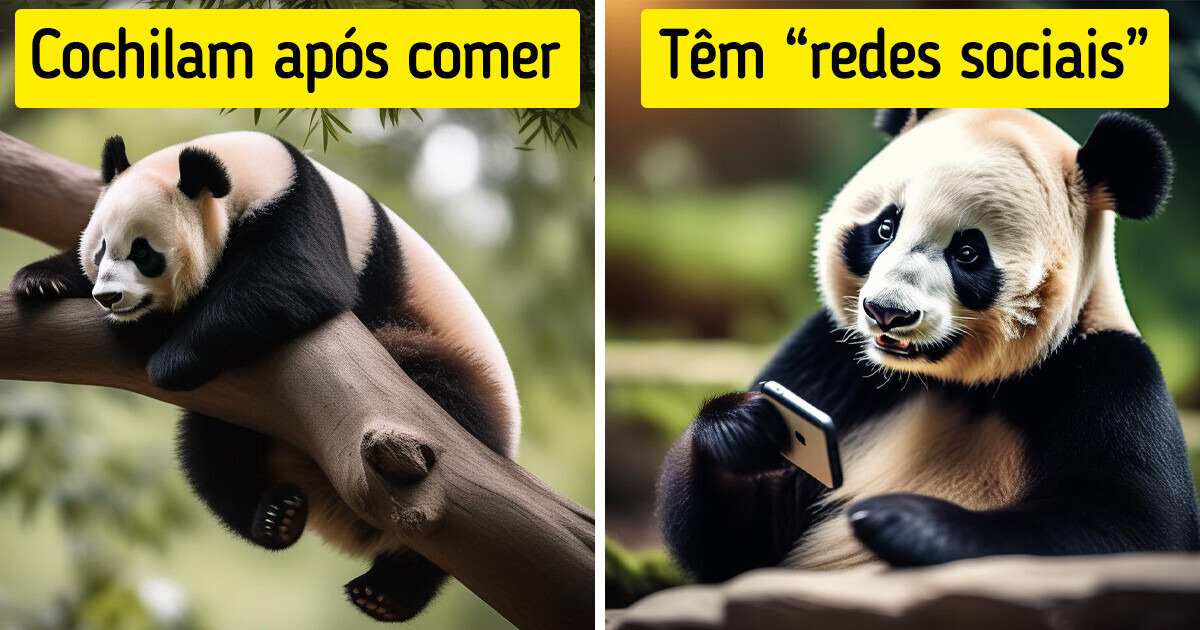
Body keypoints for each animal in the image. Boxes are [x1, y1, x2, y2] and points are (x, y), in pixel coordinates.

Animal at [9, 131, 521, 622]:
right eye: (100, 250)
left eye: (143, 253)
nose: (109, 297)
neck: (248, 173)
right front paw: (41, 280)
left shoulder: (299, 210)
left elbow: (293, 281)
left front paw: (162, 351)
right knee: (212, 452)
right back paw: (276, 518)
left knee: (437, 400)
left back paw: (389, 592)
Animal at [656, 108, 1200, 582]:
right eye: (885, 227)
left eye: (968, 252)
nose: (887, 313)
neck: (958, 384)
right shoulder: (830, 357)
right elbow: (740, 551)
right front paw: (744, 427)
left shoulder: (1107, 372)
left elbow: (1139, 528)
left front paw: (906, 521)